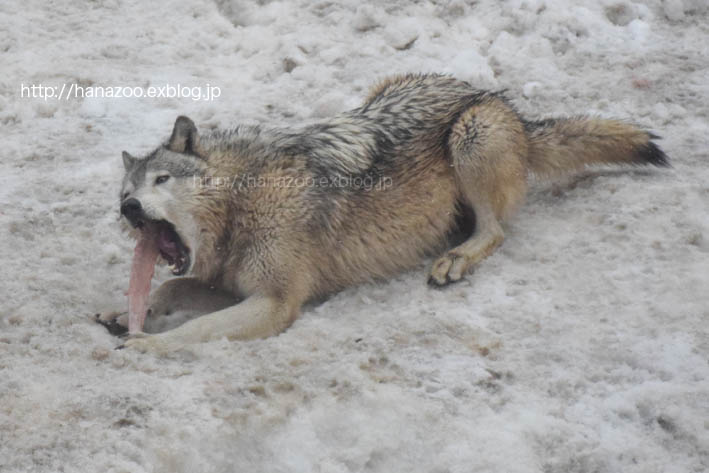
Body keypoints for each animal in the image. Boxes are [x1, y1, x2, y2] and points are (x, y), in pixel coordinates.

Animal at [97, 74, 668, 352]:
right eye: (125, 190)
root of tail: (501, 104)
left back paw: (455, 259)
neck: (244, 202)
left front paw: (147, 345)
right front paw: (125, 314)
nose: (130, 207)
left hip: (472, 134)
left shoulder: (276, 302)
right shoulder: (233, 285)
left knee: (496, 231)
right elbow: (171, 288)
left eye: (161, 181)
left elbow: (193, 332)